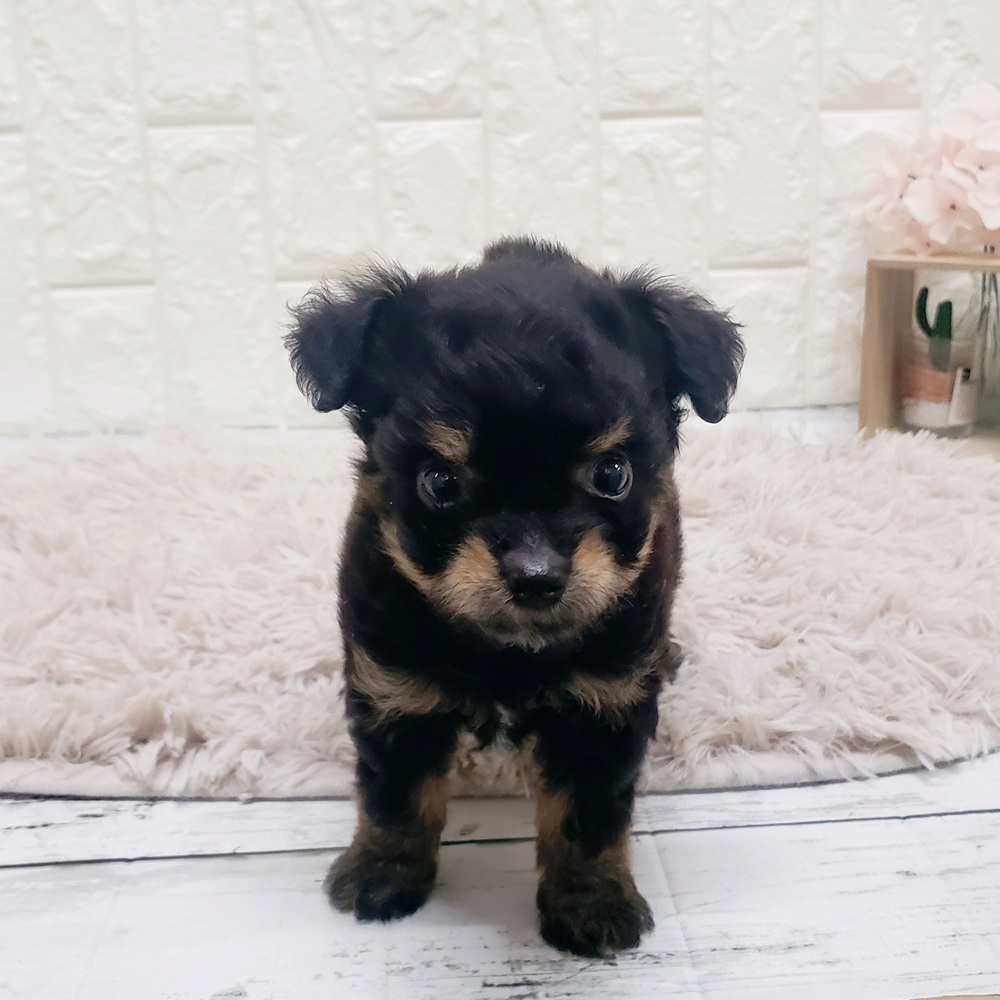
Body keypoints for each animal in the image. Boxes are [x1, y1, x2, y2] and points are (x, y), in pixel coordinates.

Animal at [284, 237, 744, 957]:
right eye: (441, 483)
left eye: (613, 474)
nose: (536, 573)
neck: (507, 650)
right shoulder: (393, 689)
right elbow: (396, 794)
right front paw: (382, 875)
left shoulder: (599, 709)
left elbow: (587, 818)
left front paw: (591, 904)